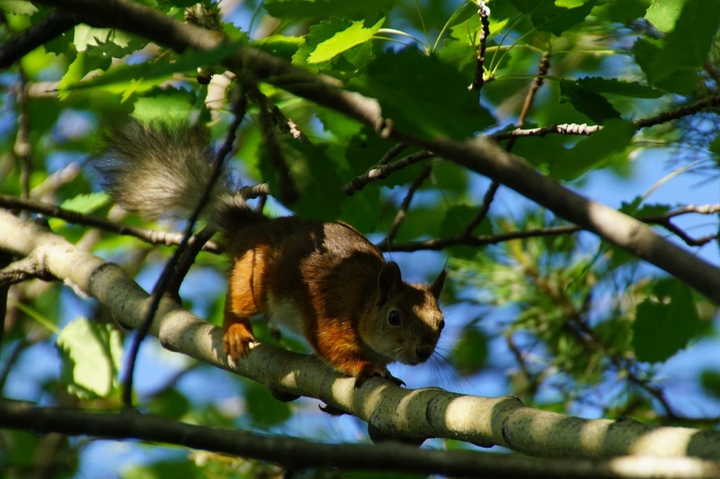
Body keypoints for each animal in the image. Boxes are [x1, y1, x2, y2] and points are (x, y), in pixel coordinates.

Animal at [94, 119, 446, 385]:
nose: (423, 351)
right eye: (394, 317)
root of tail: (253, 230)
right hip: (257, 278)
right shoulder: (331, 317)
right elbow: (331, 348)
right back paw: (235, 329)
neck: (363, 302)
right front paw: (368, 367)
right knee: (236, 299)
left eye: (441, 323)